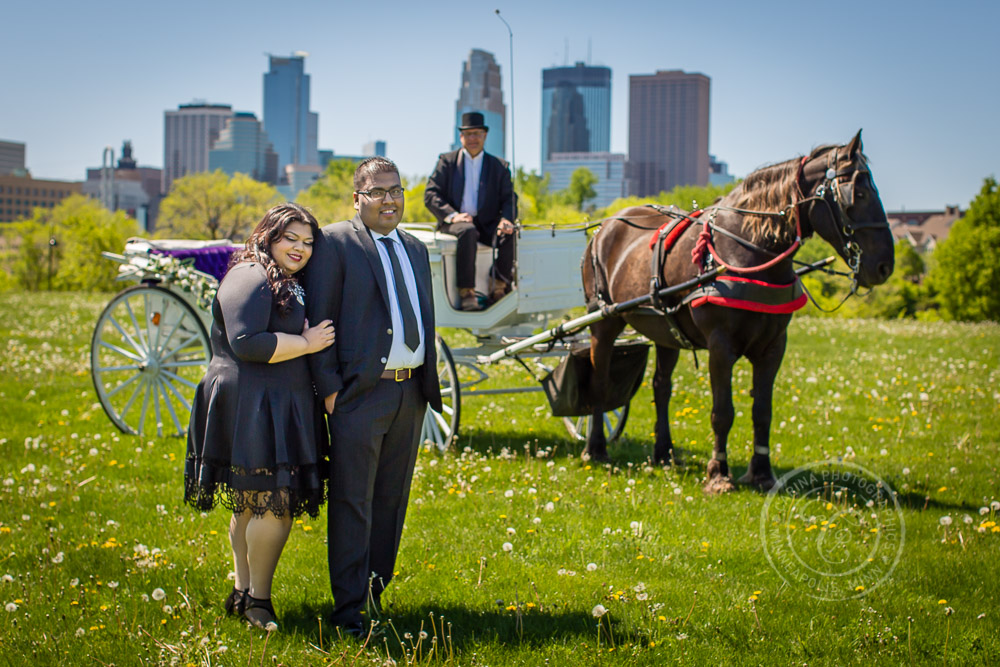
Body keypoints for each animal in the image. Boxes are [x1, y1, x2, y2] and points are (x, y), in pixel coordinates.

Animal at [584, 133, 896, 494]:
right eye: (858, 193)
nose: (884, 265)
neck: (746, 248)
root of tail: (604, 226)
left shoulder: (774, 346)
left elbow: (762, 411)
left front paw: (761, 472)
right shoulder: (721, 346)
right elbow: (723, 412)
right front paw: (718, 473)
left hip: (666, 331)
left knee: (661, 387)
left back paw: (664, 453)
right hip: (603, 321)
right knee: (600, 379)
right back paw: (595, 448)